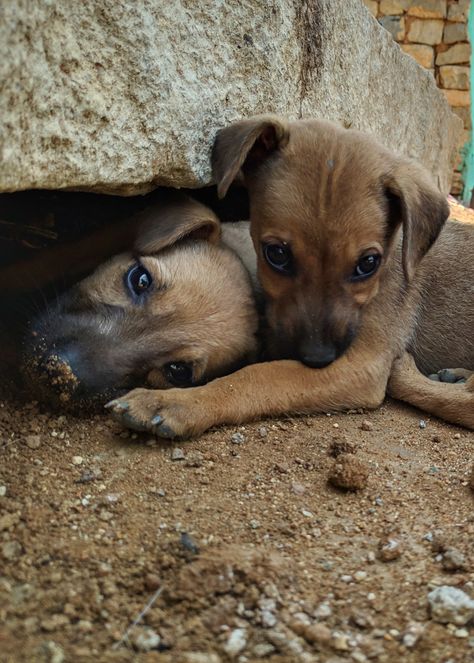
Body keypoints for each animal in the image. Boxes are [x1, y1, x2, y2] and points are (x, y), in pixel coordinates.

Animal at [108, 115, 474, 436]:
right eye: (277, 254)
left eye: (369, 263)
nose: (317, 357)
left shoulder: (361, 364)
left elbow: (259, 376)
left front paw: (176, 402)